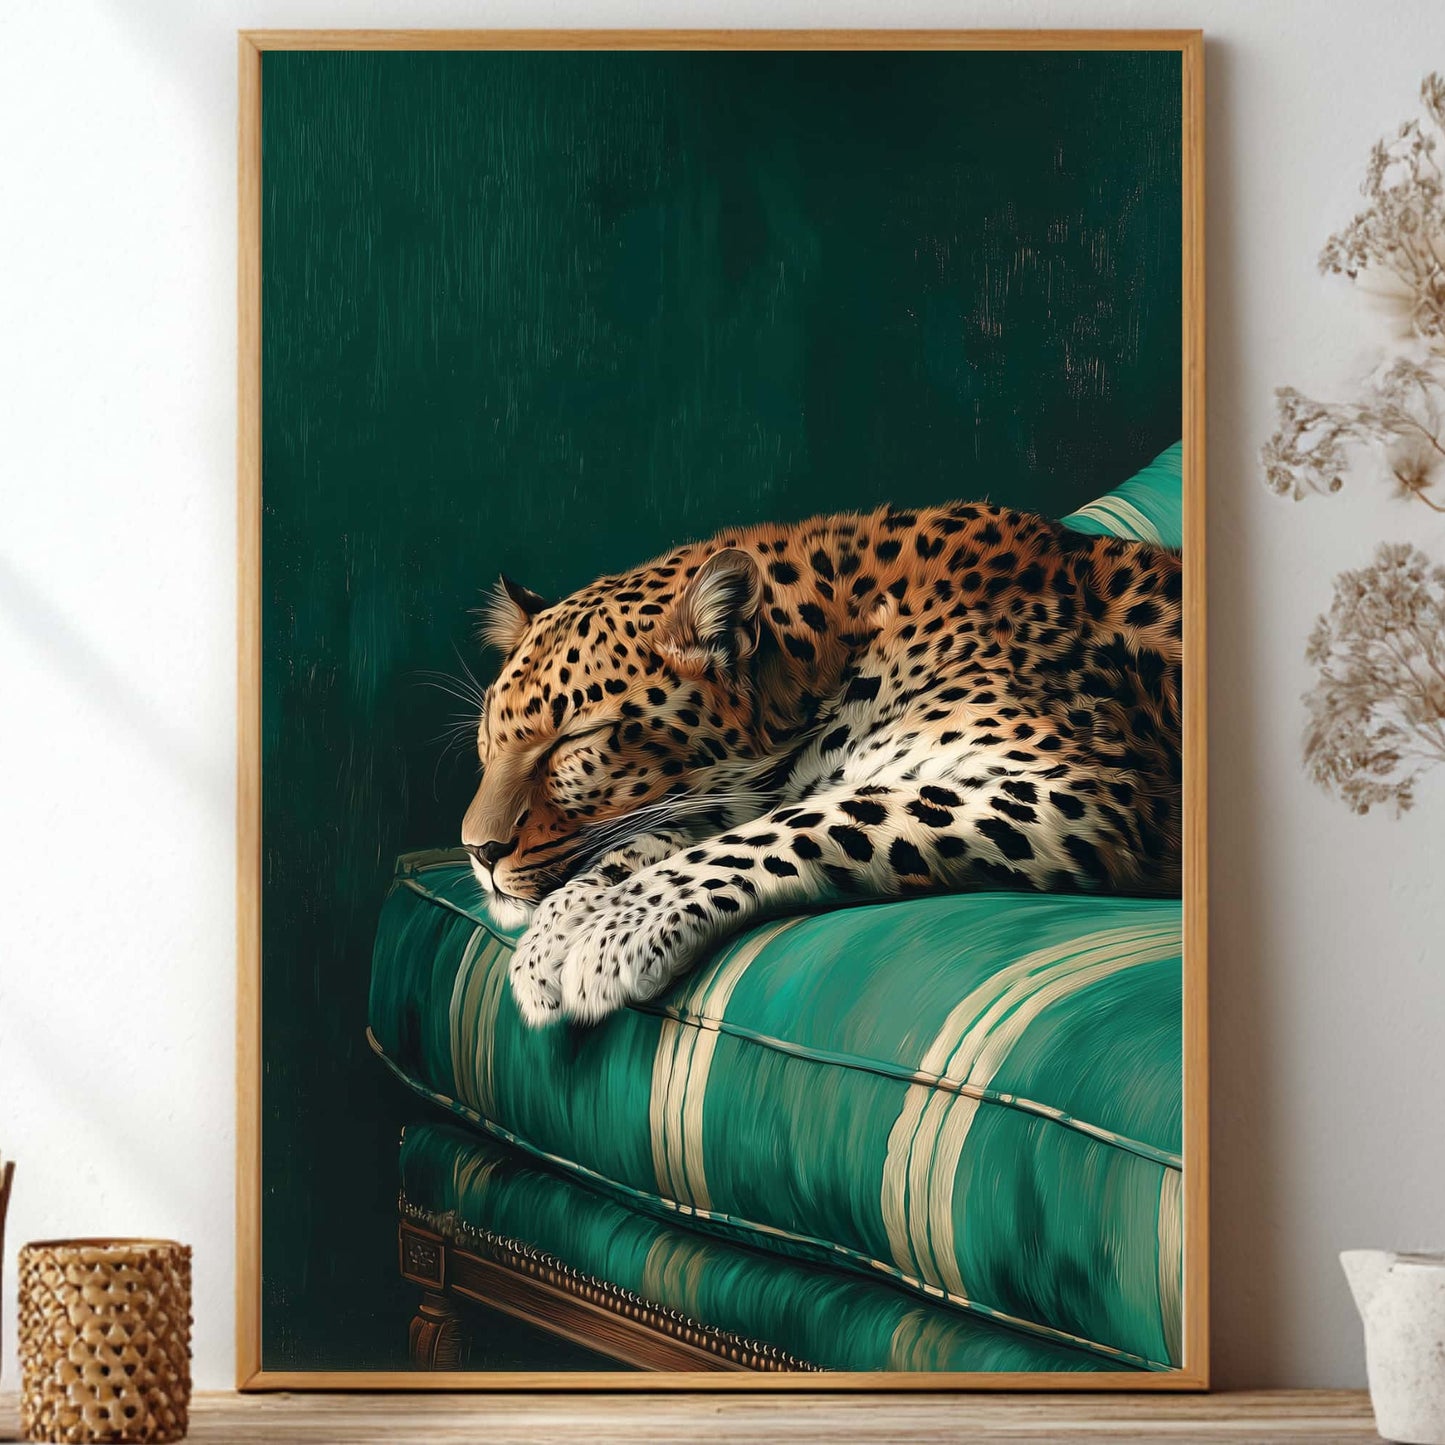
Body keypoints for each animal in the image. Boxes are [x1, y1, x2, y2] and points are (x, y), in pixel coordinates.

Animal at [460, 499, 1183, 1027]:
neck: (842, 649)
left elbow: (793, 825)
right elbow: (651, 840)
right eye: (487, 742)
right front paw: (554, 935)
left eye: (575, 740)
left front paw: (612, 932)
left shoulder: (1079, 786)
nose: (477, 851)